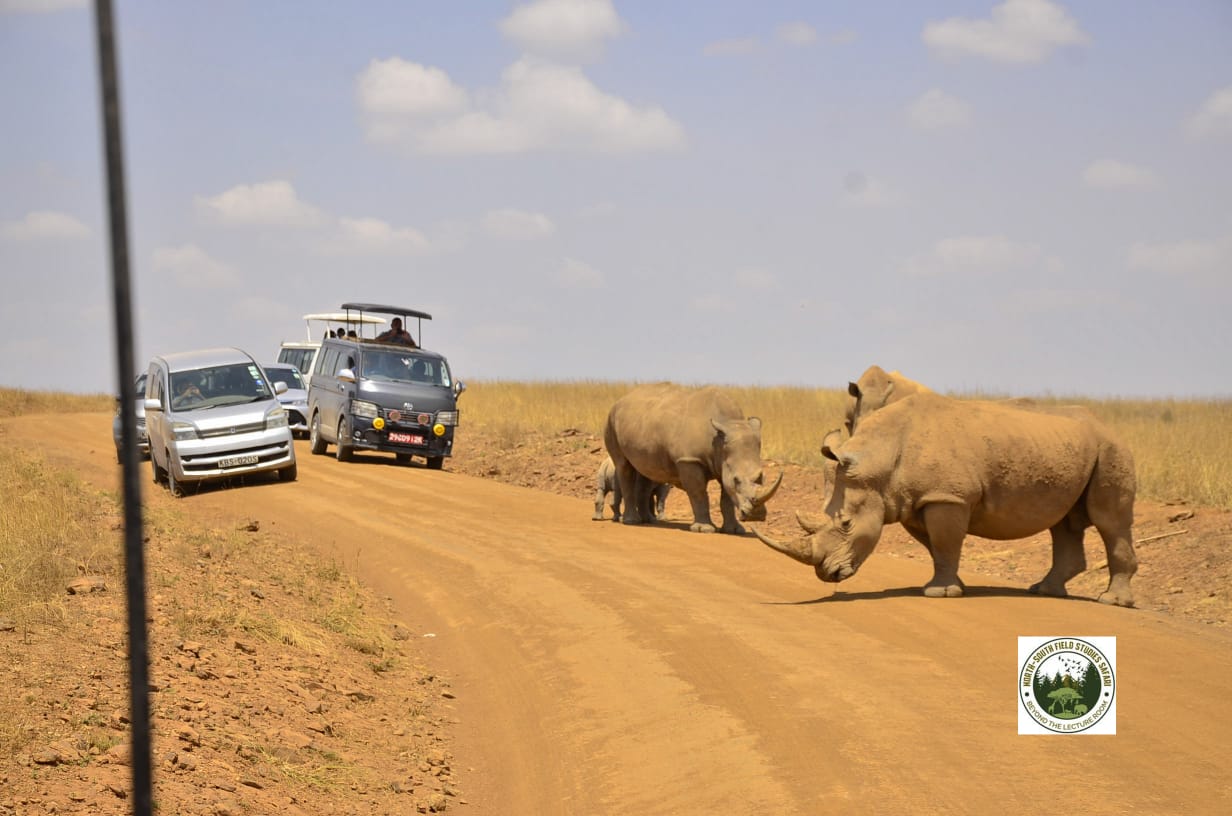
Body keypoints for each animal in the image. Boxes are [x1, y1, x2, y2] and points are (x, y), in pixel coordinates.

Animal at [604, 383, 782, 534]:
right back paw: (632, 522)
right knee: (623, 466)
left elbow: (726, 497)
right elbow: (698, 492)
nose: (756, 515)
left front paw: (734, 530)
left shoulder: (724, 463)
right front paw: (704, 529)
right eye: (737, 480)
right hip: (610, 421)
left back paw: (648, 521)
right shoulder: (689, 460)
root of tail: (621, 400)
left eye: (761, 477)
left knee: (646, 470)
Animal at [755, 392, 1138, 606]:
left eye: (847, 523)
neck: (879, 458)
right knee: (1063, 522)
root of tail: (1109, 426)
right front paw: (953, 587)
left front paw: (939, 594)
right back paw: (1044, 591)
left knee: (1109, 521)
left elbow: (945, 542)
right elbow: (936, 547)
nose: (826, 574)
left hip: (1111, 447)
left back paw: (1112, 601)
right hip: (1070, 448)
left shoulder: (947, 497)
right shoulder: (914, 500)